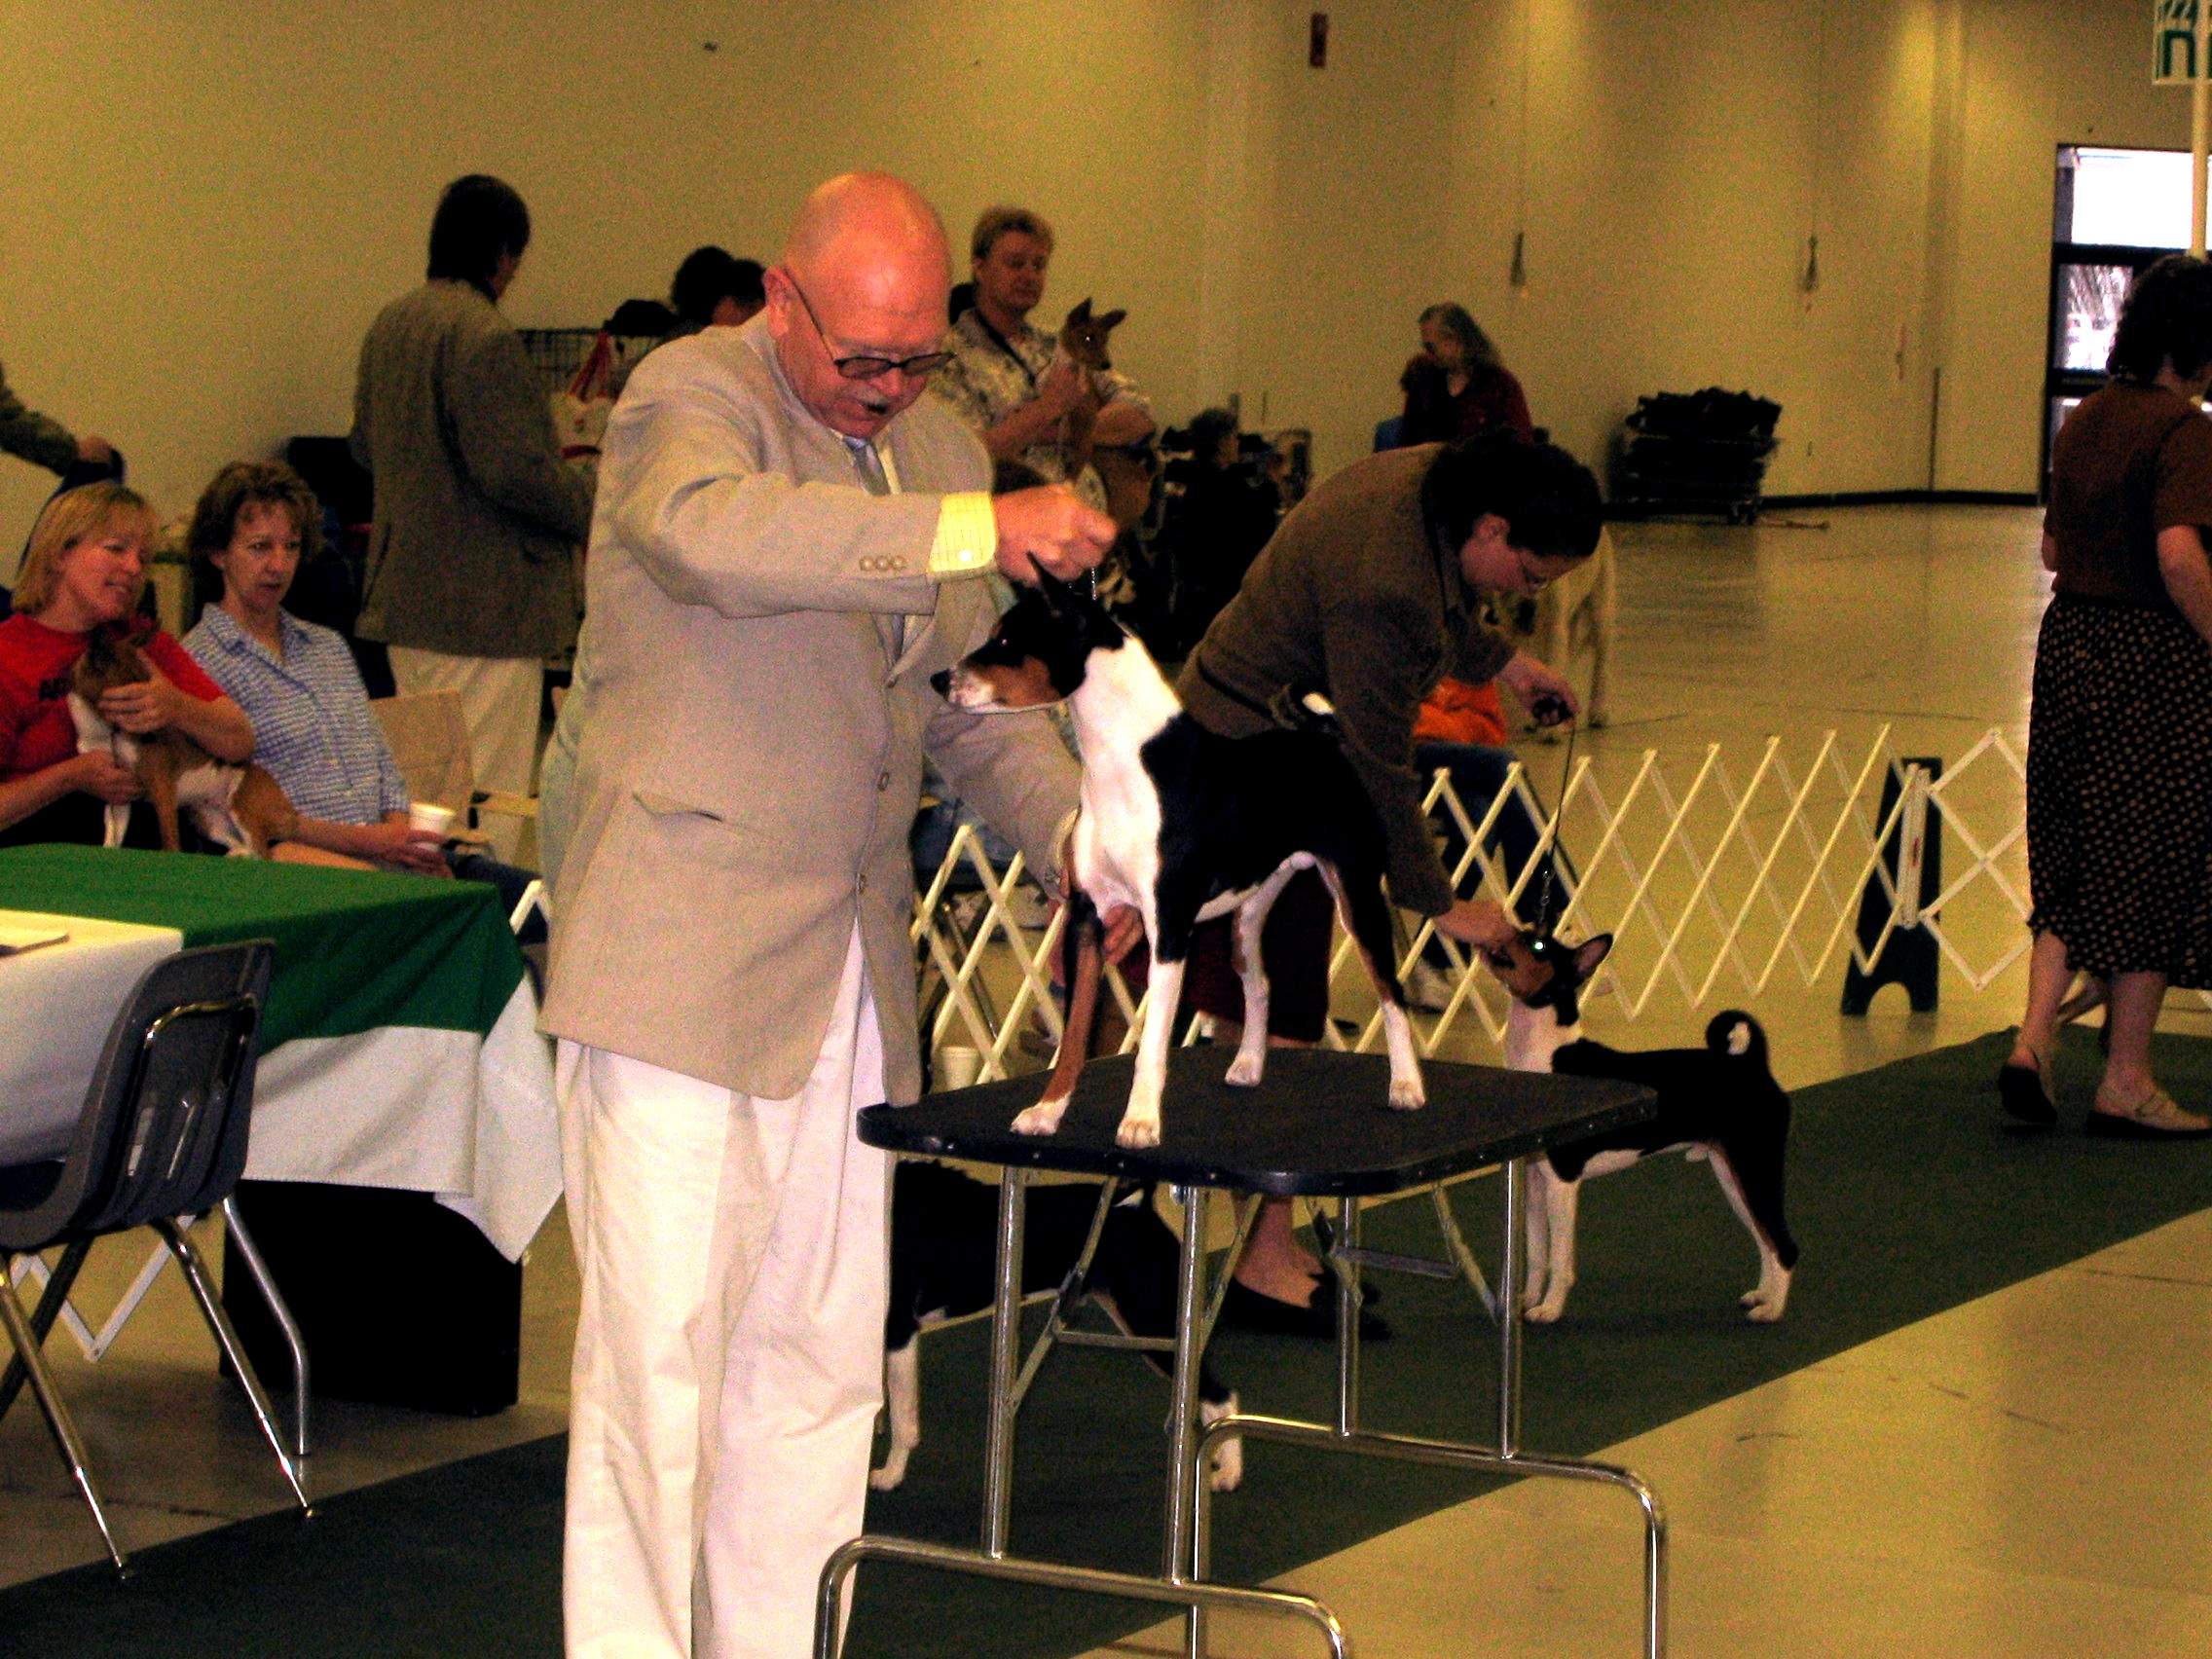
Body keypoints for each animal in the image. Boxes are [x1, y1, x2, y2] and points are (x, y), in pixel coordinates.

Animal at [68, 625, 298, 856]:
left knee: (262, 853)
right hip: (208, 821)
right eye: (128, 701)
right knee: (245, 848)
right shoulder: (120, 796)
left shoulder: (162, 787)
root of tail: (289, 807)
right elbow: (113, 833)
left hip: (243, 810)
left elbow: (169, 838)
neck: (109, 732)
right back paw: (235, 855)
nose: (152, 736)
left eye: (148, 694)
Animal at [872, 1158, 1241, 1493]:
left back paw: (1229, 1473)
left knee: (1221, 1395)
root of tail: (1137, 1206)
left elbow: (903, 1422)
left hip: (1149, 1324)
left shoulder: (899, 1329)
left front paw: (888, 1476)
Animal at [933, 566, 1425, 1149]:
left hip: (1358, 896)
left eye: (1007, 642)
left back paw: (1406, 1086)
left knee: (1391, 993)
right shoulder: (1088, 919)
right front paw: (1047, 1111)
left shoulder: (1167, 926)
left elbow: (1151, 1042)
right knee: (1259, 982)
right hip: (1248, 911)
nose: (939, 679)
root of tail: (1321, 742)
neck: (1126, 767)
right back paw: (1248, 1065)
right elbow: (1074, 1033)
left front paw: (1141, 1121)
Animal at [1483, 927, 1797, 1323]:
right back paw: (1763, 1296)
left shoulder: (1563, 1182)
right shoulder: (1536, 1181)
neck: (1546, 1055)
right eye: (1528, 931)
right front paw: (1526, 1301)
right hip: (1733, 1175)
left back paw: (1773, 1311)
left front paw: (1550, 1309)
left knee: (1784, 1246)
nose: (1511, 932)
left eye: (1538, 947)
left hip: (1756, 1167)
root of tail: (1753, 1065)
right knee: (1765, 1241)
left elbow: (1559, 1258)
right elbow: (1536, 1254)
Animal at [1504, 523, 1615, 739]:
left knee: (1602, 661)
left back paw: (1598, 711)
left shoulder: (1554, 629)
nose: (1527, 609)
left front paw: (1552, 730)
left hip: (1601, 609)